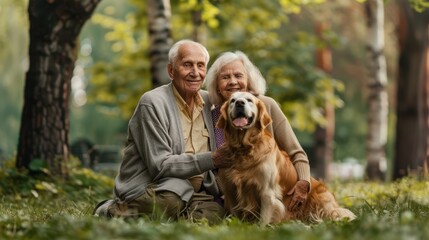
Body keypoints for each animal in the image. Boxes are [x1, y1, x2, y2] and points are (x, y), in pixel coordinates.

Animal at [216, 92, 356, 225]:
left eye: (249, 100)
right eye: (232, 100)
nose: (239, 103)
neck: (244, 149)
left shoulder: (267, 192)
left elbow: (264, 220)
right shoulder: (230, 190)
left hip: (323, 203)